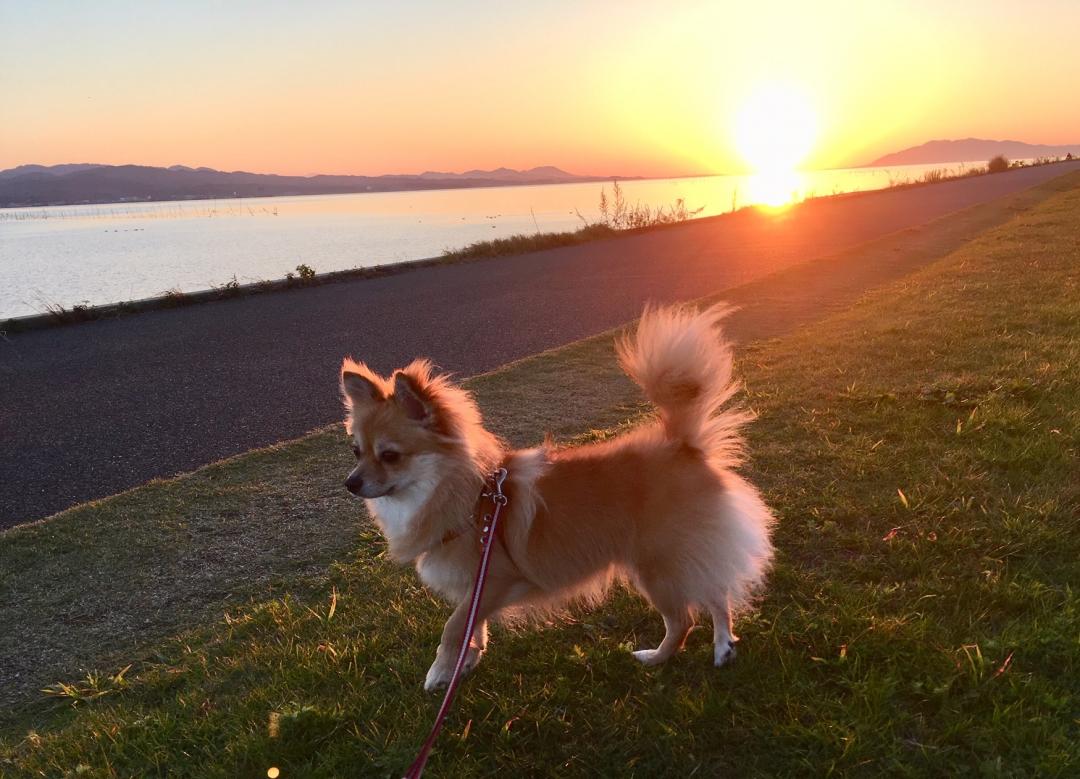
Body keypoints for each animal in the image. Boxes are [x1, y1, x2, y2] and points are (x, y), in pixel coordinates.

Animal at [341, 300, 773, 691]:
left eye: (390, 456)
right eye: (356, 452)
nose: (351, 483)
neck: (473, 501)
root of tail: (682, 445)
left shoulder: (496, 579)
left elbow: (454, 627)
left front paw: (439, 673)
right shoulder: (474, 589)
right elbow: (472, 628)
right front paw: (465, 664)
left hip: (657, 567)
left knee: (685, 619)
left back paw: (656, 658)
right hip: (688, 552)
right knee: (716, 589)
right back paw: (723, 646)